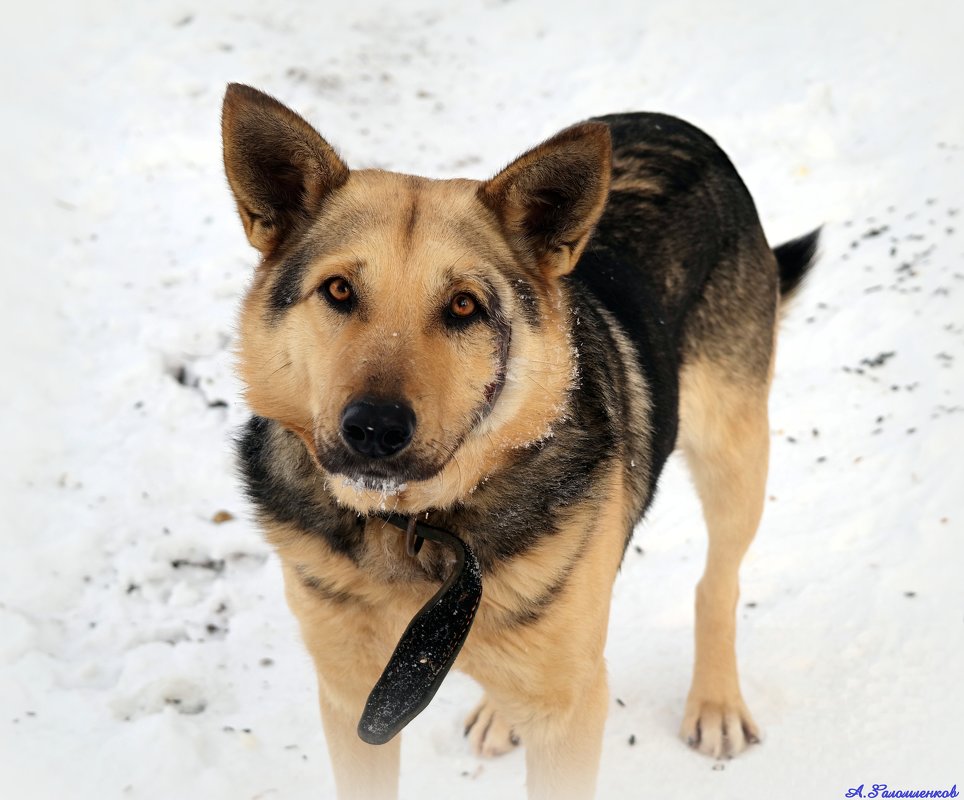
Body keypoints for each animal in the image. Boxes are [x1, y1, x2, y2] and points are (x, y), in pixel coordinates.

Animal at [222, 83, 816, 800]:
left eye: (464, 307)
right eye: (338, 290)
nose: (373, 429)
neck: (416, 528)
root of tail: (670, 122)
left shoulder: (570, 710)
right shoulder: (352, 696)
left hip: (734, 454)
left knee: (718, 583)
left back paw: (717, 703)